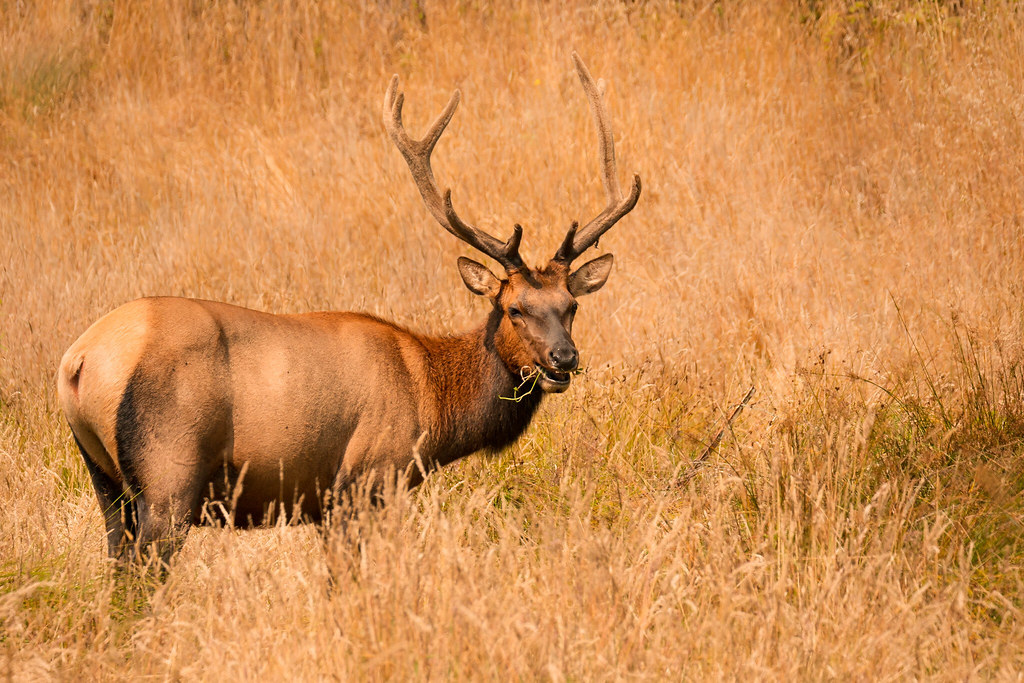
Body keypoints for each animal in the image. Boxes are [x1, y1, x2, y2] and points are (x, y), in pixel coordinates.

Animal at [57, 53, 641, 568]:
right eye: (515, 308)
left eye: (571, 305)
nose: (564, 359)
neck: (433, 402)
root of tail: (78, 361)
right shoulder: (366, 479)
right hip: (168, 476)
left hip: (105, 480)